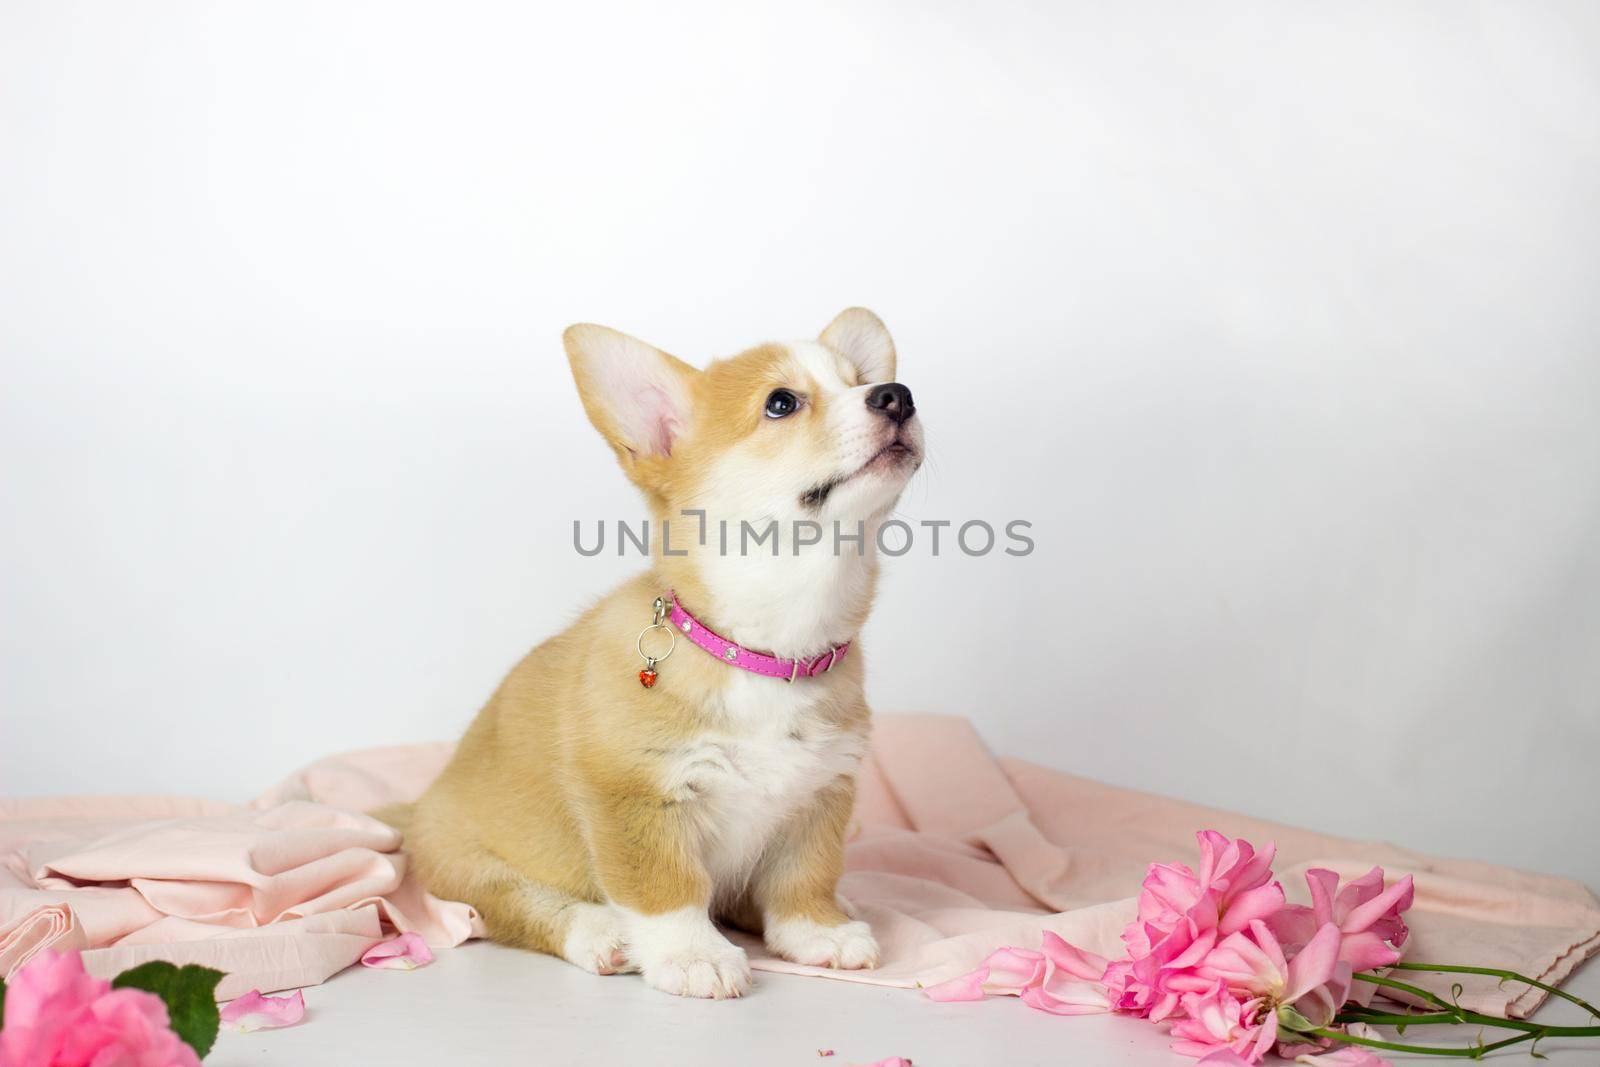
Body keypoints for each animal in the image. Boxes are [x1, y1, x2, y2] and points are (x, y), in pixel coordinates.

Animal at [403, 310, 928, 1004]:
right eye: (781, 403)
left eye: (860, 379)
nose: (897, 394)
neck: (764, 651)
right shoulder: (634, 797)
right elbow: (666, 888)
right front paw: (692, 954)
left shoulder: (821, 795)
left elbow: (805, 877)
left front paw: (818, 930)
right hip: (463, 861)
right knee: (512, 904)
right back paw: (600, 931)